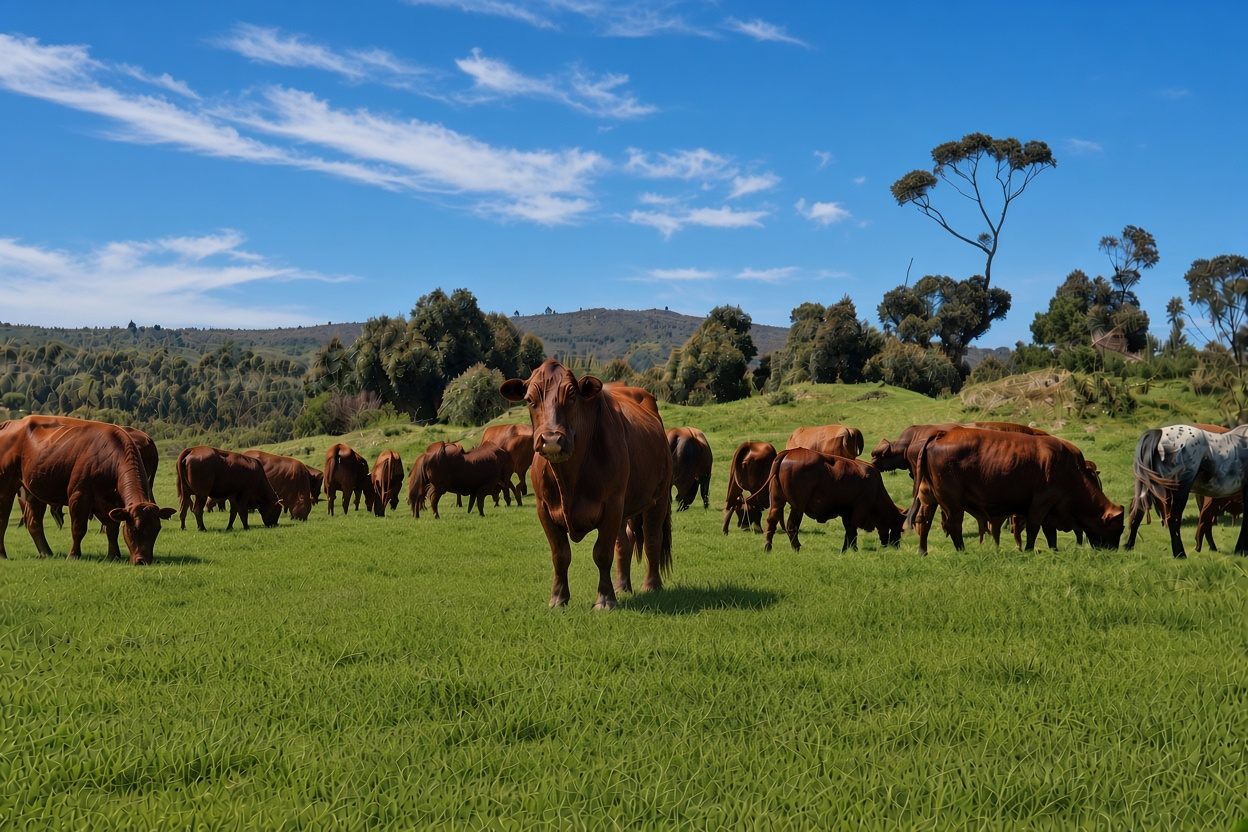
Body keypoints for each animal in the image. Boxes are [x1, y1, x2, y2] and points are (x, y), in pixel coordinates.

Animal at [0, 415, 175, 563]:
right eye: (133, 530)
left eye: (156, 529)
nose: (143, 560)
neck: (109, 459)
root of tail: (9, 423)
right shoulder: (79, 496)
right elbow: (78, 528)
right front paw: (73, 555)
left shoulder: (112, 503)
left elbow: (112, 528)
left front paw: (113, 555)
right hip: (6, 486)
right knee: (4, 520)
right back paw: (3, 554)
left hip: (33, 491)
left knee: (34, 522)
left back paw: (47, 553)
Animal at [501, 359, 672, 609]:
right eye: (530, 399)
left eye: (572, 396)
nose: (551, 440)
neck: (569, 479)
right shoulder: (544, 508)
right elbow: (560, 554)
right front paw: (558, 598)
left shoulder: (612, 504)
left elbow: (602, 553)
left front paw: (605, 600)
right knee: (625, 542)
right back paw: (622, 586)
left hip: (658, 497)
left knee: (652, 538)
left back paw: (651, 585)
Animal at [762, 448, 903, 553]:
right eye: (898, 527)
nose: (896, 546)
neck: (876, 488)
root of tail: (789, 452)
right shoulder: (858, 510)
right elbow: (852, 531)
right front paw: (854, 550)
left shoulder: (847, 512)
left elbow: (849, 531)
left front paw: (846, 550)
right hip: (798, 507)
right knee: (792, 526)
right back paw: (796, 548)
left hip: (777, 503)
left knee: (771, 522)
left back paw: (768, 548)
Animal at [913, 428, 1123, 555]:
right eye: (1117, 528)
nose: (1113, 550)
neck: (1071, 469)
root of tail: (942, 433)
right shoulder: (1042, 502)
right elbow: (1033, 528)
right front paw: (1029, 550)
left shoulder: (1050, 510)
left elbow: (1050, 533)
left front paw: (1053, 550)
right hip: (951, 502)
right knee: (953, 525)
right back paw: (961, 550)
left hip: (930, 498)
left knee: (924, 522)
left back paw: (923, 551)